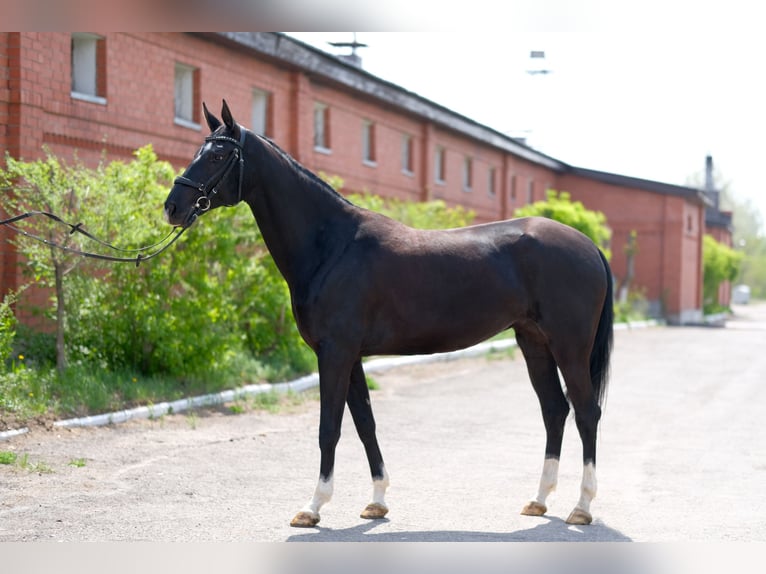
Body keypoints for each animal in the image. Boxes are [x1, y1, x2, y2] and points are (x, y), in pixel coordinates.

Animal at [165, 102, 616, 532]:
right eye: (198, 150)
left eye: (219, 154)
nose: (172, 207)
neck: (332, 245)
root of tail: (589, 246)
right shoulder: (351, 357)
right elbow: (365, 422)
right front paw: (376, 501)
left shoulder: (335, 353)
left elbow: (330, 427)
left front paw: (312, 507)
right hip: (533, 342)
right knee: (554, 410)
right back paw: (539, 500)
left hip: (569, 346)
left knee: (586, 411)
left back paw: (581, 507)